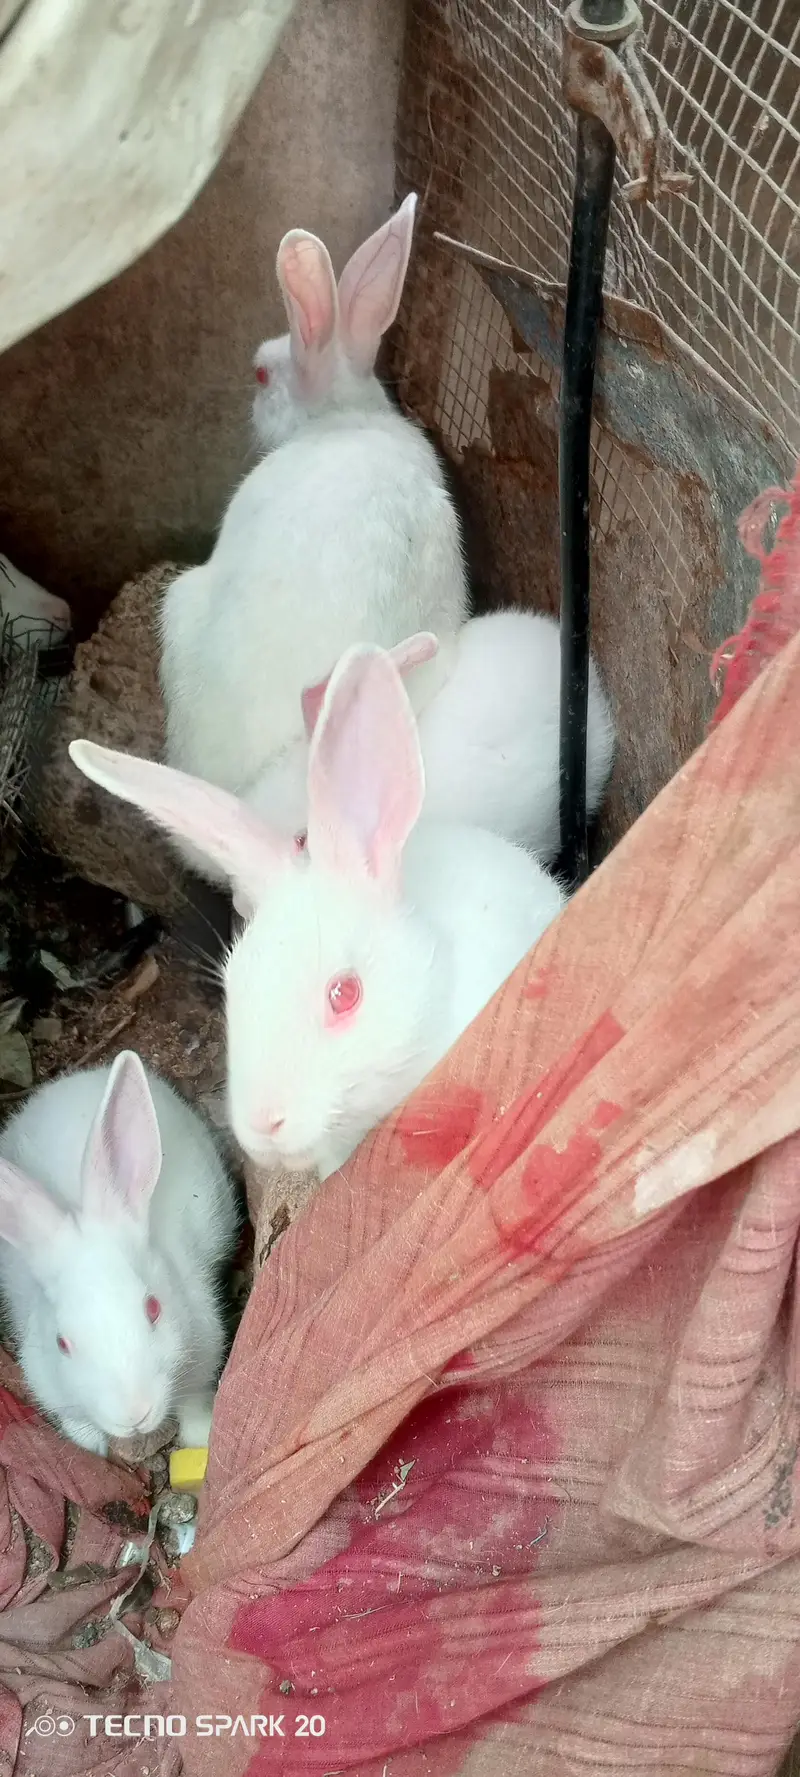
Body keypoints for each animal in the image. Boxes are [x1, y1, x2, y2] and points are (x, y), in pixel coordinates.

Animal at [0, 1051, 238, 1456]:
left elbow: (194, 1404)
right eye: (62, 1343)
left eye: (153, 1308)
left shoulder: (204, 1356)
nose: (134, 1416)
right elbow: (78, 1424)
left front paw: (201, 1436)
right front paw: (92, 1448)